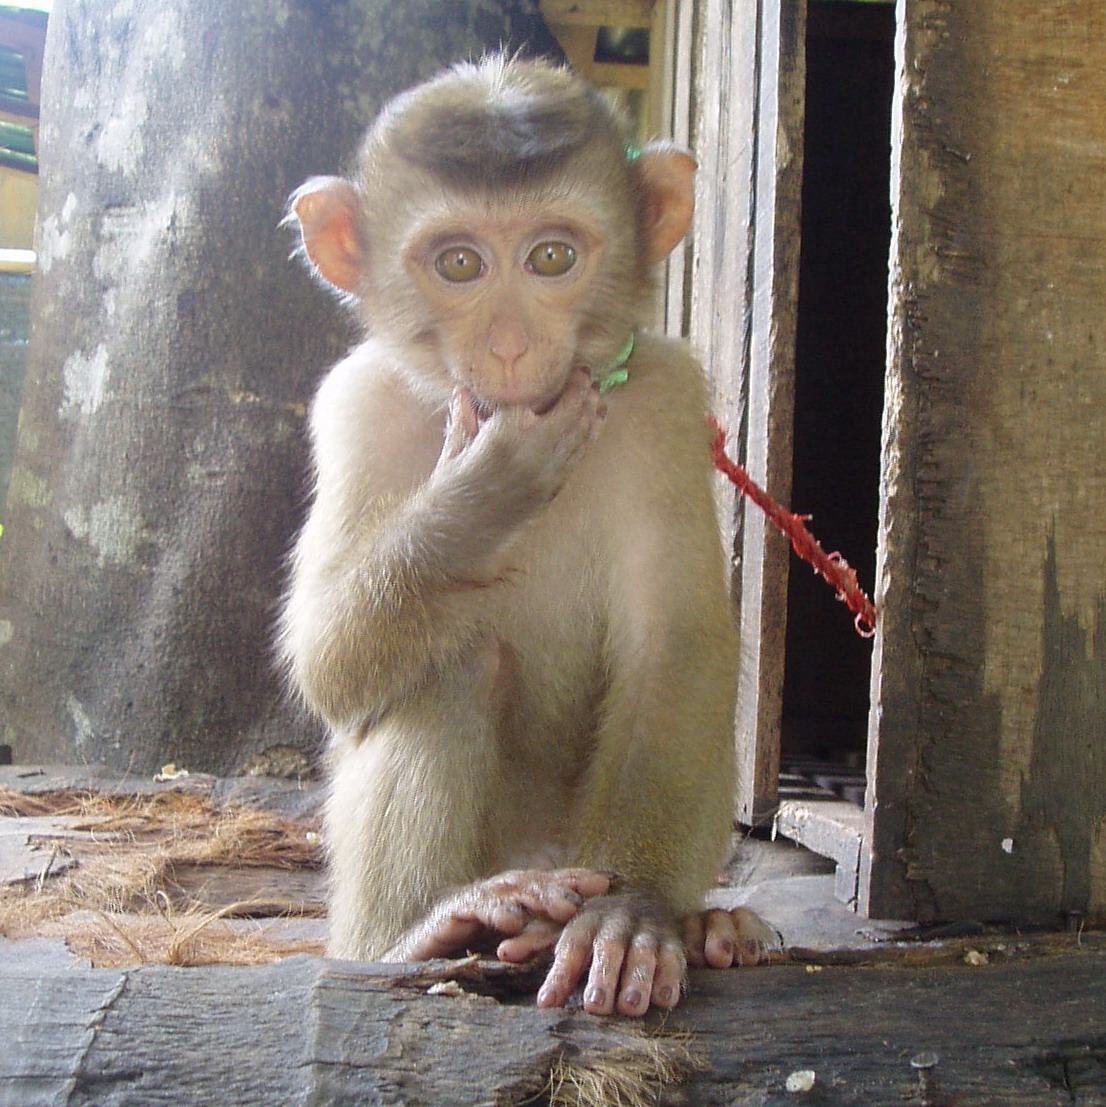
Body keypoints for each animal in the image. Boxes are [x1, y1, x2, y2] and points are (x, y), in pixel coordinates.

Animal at [281, 56, 774, 1014]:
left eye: (552, 257)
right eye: (459, 263)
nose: (509, 346)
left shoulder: (666, 400)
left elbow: (676, 649)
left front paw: (633, 912)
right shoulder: (355, 405)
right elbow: (328, 660)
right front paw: (483, 493)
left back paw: (710, 926)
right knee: (449, 661)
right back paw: (435, 928)